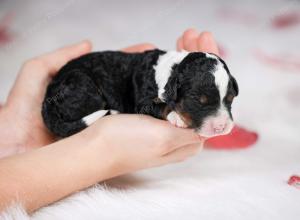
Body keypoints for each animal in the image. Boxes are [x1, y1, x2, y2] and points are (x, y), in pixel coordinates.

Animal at [42, 49, 239, 138]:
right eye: (198, 101)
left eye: (230, 99)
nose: (221, 127)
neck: (170, 70)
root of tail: (47, 98)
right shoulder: (143, 102)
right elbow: (162, 106)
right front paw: (176, 116)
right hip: (84, 86)